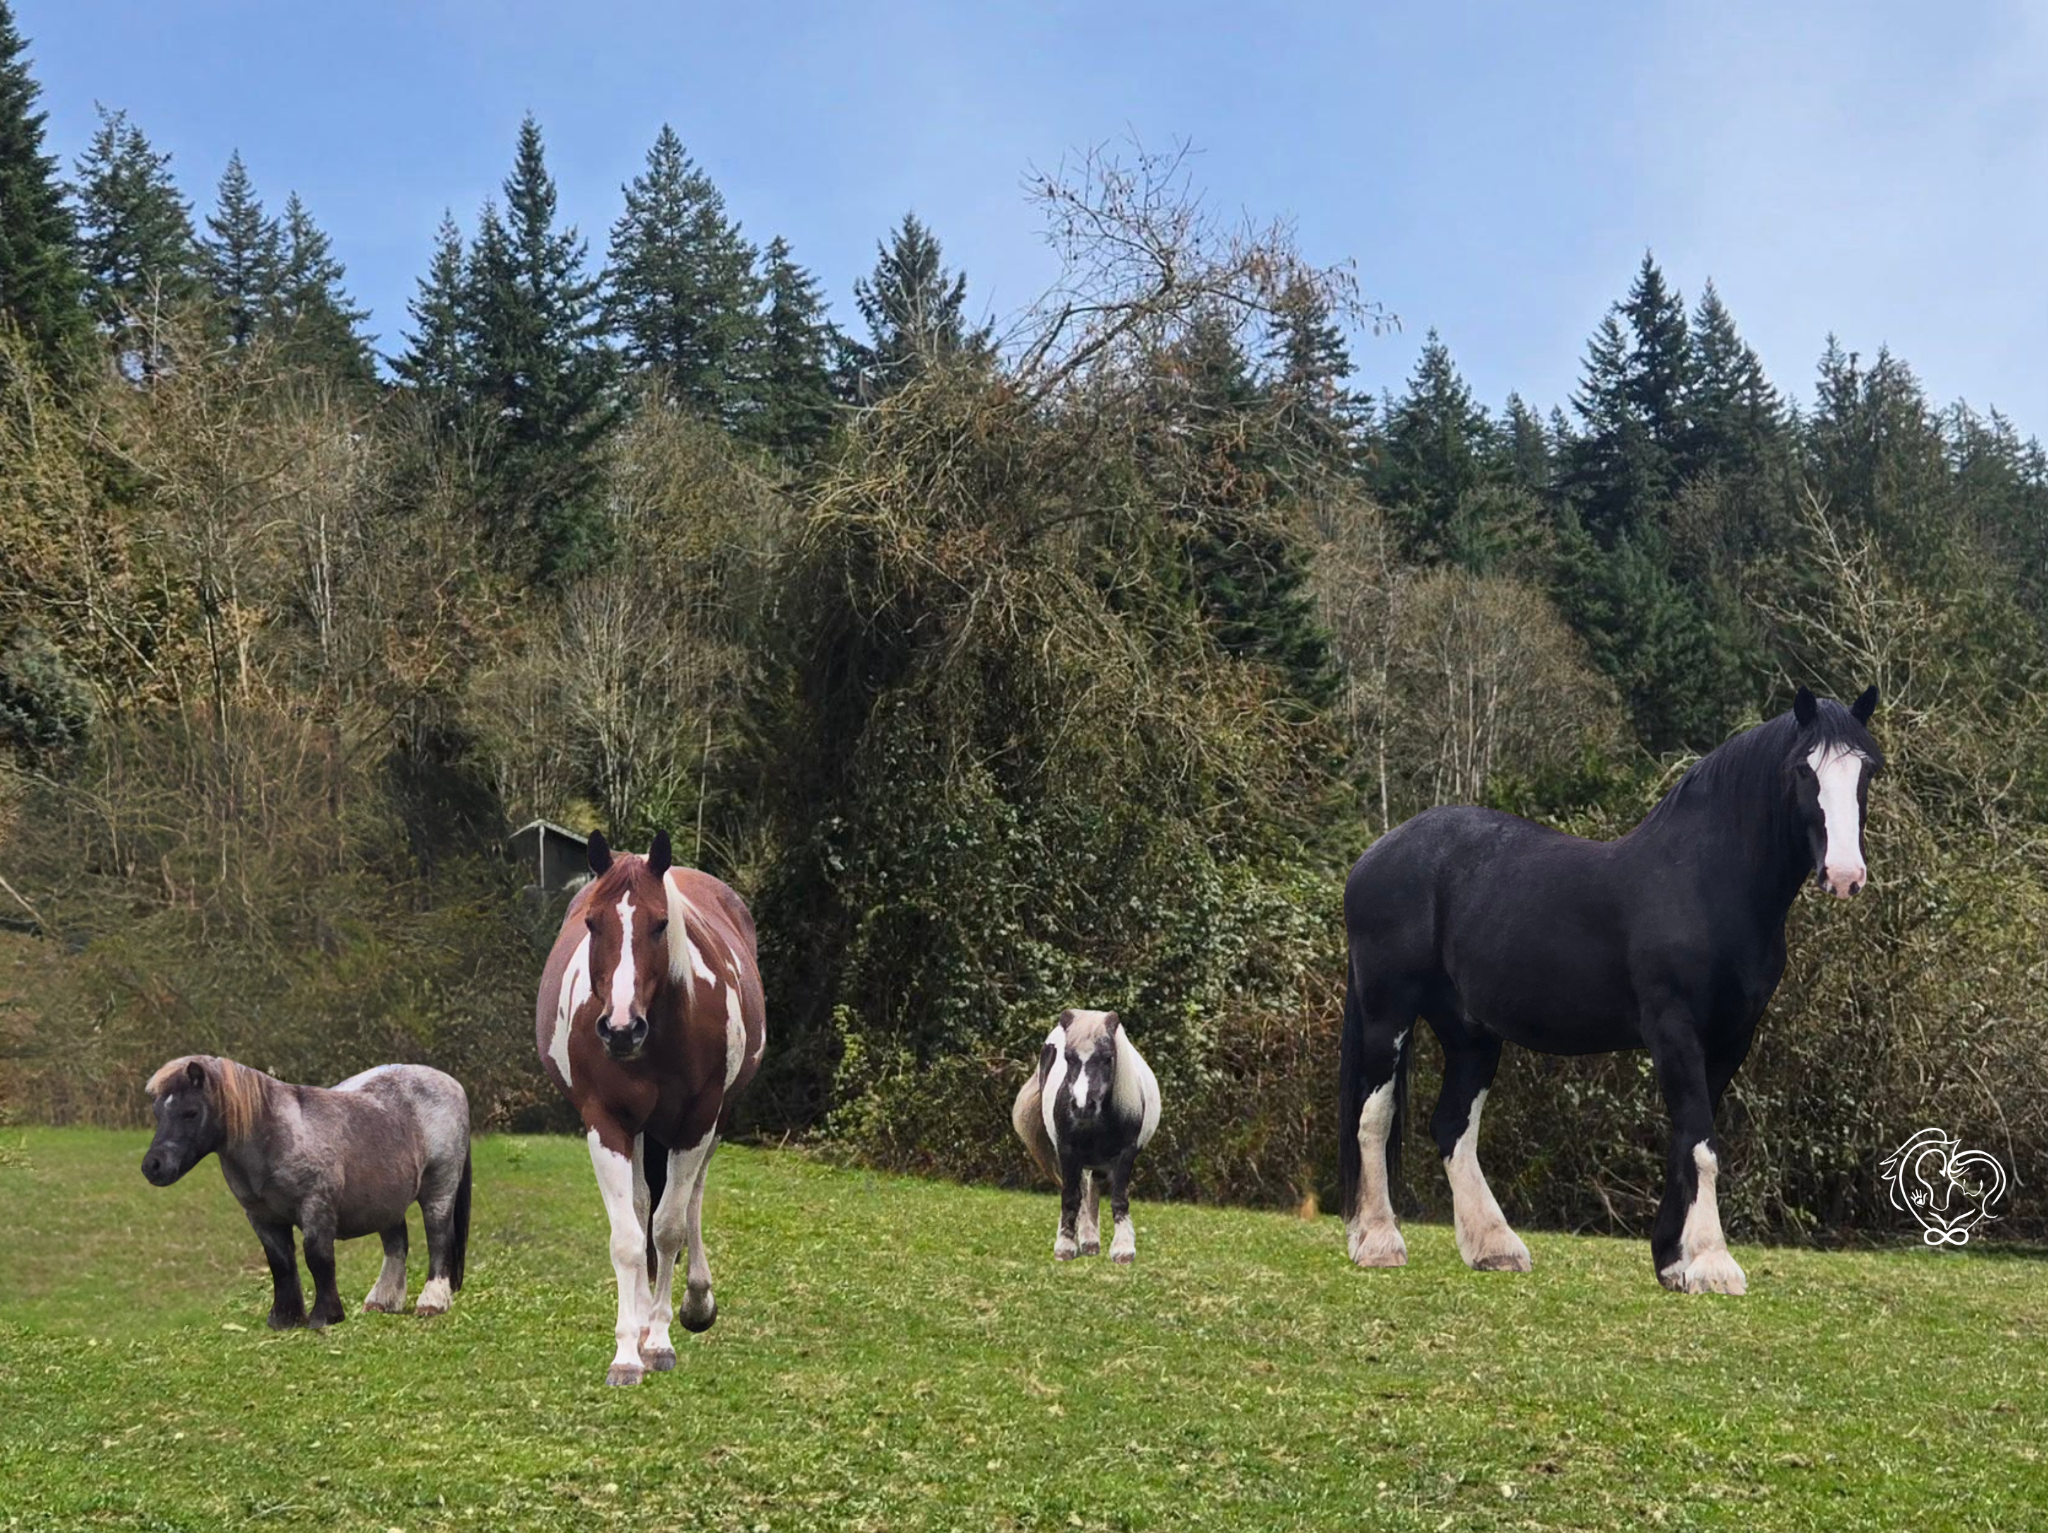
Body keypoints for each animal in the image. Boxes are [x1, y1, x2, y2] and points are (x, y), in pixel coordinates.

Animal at [140, 1057, 472, 1328]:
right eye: (158, 1112)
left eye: (190, 1112)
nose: (152, 1166)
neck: (272, 1135)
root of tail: (452, 1083)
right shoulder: (263, 1219)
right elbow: (281, 1263)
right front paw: (284, 1319)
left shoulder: (315, 1208)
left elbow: (317, 1257)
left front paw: (325, 1316)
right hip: (387, 1199)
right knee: (396, 1246)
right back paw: (381, 1302)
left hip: (439, 1186)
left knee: (439, 1237)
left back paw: (432, 1302)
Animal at [534, 828, 766, 1386]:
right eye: (592, 923)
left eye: (660, 924)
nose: (621, 1029)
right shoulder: (606, 1123)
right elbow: (628, 1234)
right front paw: (627, 1351)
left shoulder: (698, 1121)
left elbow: (669, 1228)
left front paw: (659, 1341)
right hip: (640, 1131)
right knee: (641, 1206)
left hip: (713, 1121)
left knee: (691, 1199)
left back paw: (695, 1303)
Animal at [1011, 1009, 1161, 1263]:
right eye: (1068, 1057)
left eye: (1108, 1057)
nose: (1082, 1106)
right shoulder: (1067, 1151)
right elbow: (1070, 1196)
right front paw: (1064, 1245)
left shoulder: (1126, 1154)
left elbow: (1118, 1198)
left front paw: (1123, 1249)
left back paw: (1091, 1241)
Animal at [1337, 685, 1882, 1294]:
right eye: (1803, 770)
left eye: (1867, 770)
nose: (1844, 875)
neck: (1704, 882)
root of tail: (1373, 857)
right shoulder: (1673, 1029)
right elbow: (1701, 1141)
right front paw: (1713, 1262)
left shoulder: (1731, 1039)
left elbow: (1688, 1138)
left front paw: (1674, 1262)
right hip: (1388, 1012)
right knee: (1373, 1116)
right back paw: (1379, 1242)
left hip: (1470, 1032)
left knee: (1453, 1125)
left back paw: (1494, 1247)